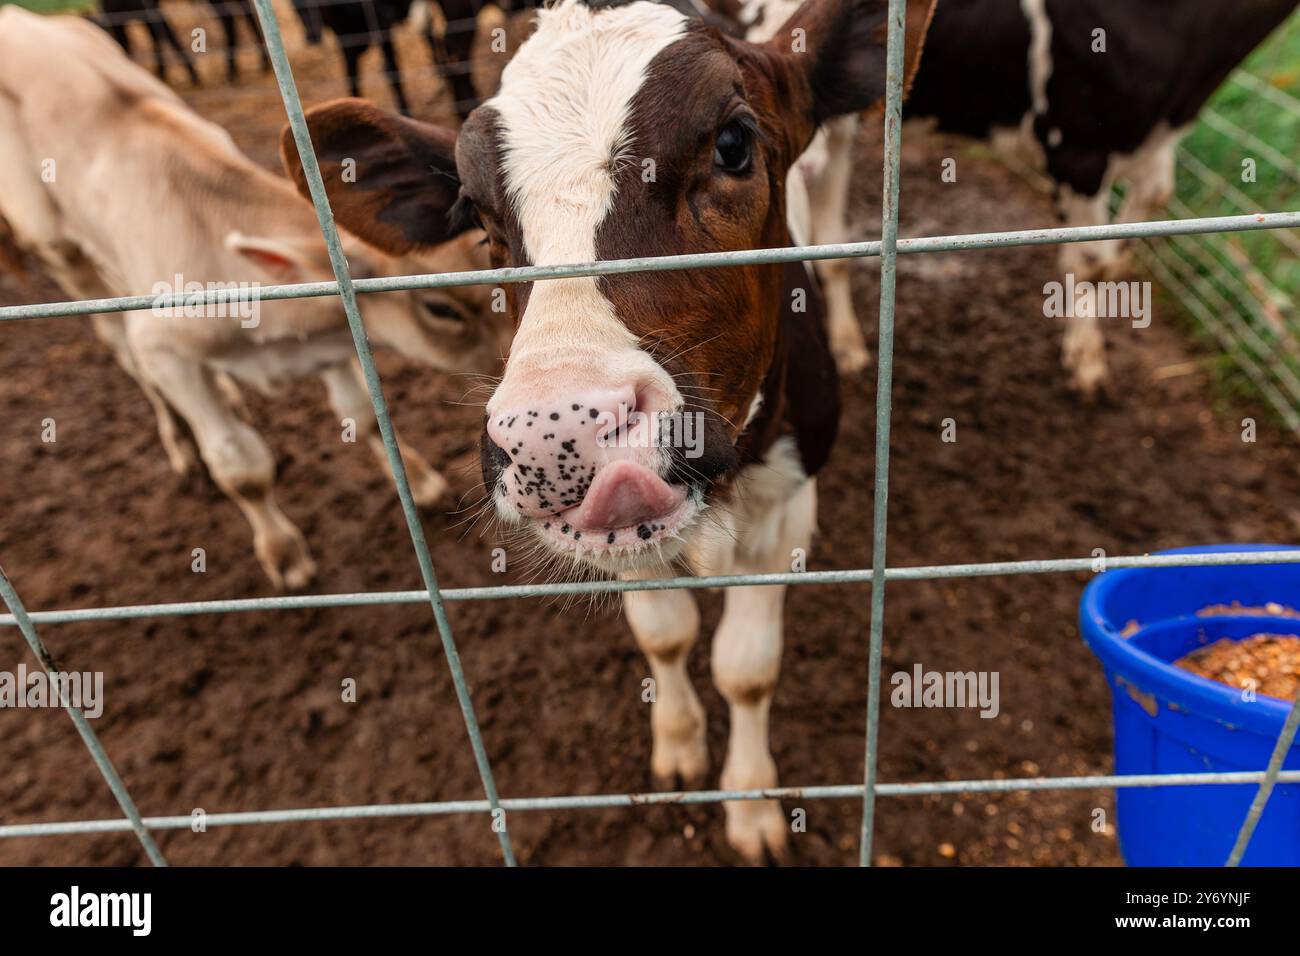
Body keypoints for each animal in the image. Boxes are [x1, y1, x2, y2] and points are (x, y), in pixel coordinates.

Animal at [0, 7, 506, 590]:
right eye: (441, 308)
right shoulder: (161, 344)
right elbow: (238, 467)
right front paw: (283, 553)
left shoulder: (334, 338)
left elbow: (364, 415)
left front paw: (418, 481)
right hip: (57, 248)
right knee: (119, 347)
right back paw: (178, 441)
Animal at [282, 0, 935, 858]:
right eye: (479, 215)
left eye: (733, 144)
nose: (553, 434)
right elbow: (665, 635)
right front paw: (680, 745)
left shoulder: (792, 502)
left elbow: (746, 667)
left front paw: (752, 804)